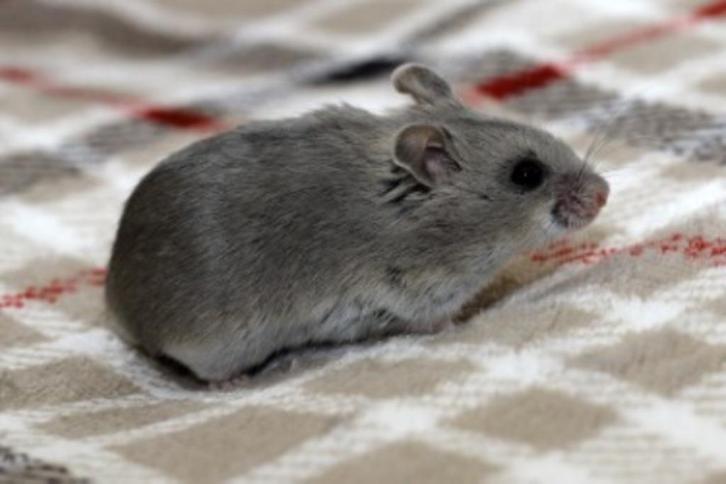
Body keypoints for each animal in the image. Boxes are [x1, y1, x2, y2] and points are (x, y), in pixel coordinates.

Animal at [105, 64, 609, 383]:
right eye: (526, 174)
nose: (605, 192)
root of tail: (116, 306)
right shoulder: (418, 294)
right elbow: (441, 321)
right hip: (215, 345)